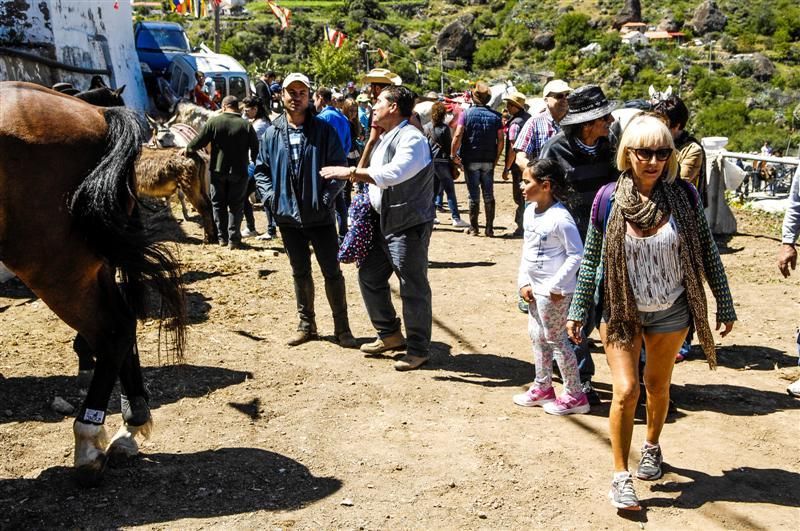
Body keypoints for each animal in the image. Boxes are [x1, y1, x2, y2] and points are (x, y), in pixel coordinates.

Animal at [0, 82, 186, 486]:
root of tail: (98, 116)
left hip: (55, 263)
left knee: (113, 328)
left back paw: (88, 443)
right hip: (88, 261)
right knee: (121, 323)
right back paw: (129, 424)